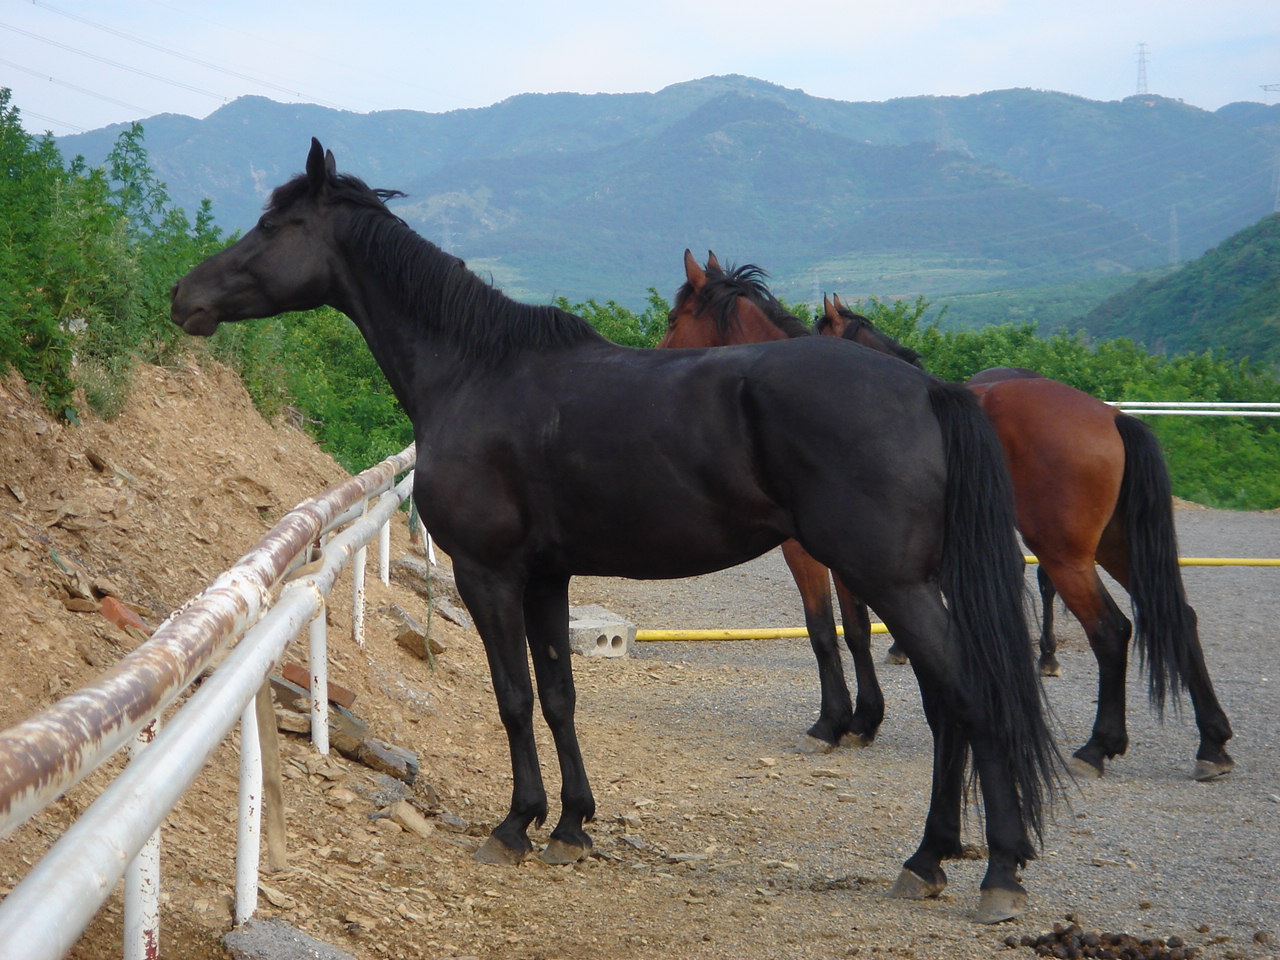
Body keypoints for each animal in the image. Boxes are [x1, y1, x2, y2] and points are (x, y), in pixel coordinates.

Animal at [172, 140, 1059, 926]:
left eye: (275, 226)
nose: (185, 295)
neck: (476, 371)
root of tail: (928, 389)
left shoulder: (489, 574)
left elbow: (514, 697)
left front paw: (515, 824)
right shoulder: (546, 577)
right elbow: (560, 695)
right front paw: (570, 824)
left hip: (891, 580)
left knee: (967, 697)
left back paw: (992, 870)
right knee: (947, 705)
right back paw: (933, 857)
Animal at [660, 252, 1228, 783]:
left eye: (673, 317)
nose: (663, 362)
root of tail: (1110, 415)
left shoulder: (807, 553)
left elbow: (823, 630)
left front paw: (831, 723)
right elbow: (858, 628)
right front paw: (865, 720)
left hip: (1065, 554)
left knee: (1111, 631)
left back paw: (1097, 746)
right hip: (1112, 546)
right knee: (1178, 616)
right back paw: (1212, 743)